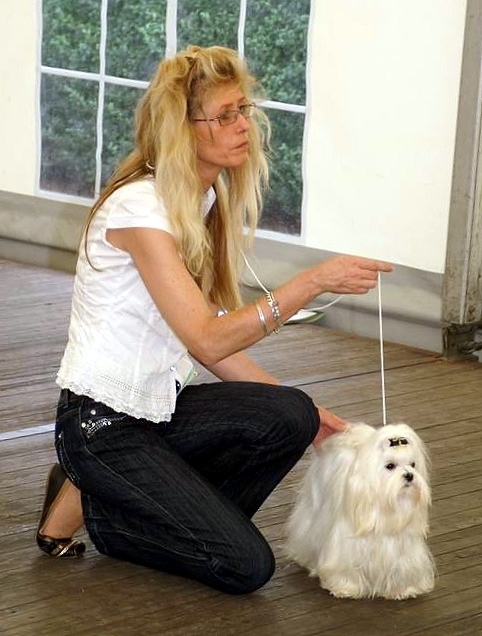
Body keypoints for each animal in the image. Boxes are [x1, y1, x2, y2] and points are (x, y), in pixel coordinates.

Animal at [285, 423, 436, 600]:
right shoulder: (345, 547)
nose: (409, 476)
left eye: (413, 465)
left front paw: (405, 589)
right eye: (390, 466)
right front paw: (346, 588)